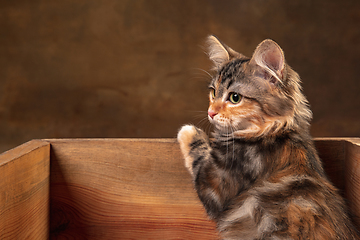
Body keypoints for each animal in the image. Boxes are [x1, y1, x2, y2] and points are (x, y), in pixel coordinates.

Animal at [179, 36, 358, 240]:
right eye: (213, 92)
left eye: (234, 98)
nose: (210, 112)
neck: (274, 132)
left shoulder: (215, 184)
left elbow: (198, 151)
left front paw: (187, 130)